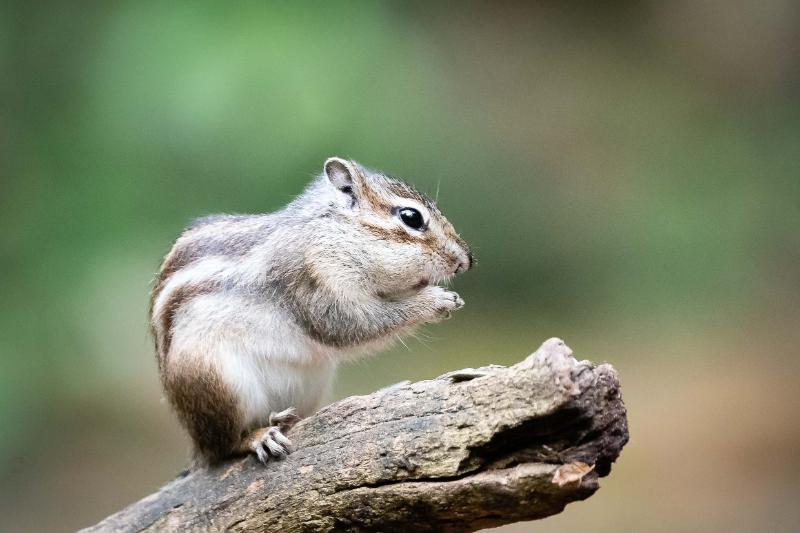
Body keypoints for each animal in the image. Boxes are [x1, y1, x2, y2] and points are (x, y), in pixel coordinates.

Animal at [149, 156, 472, 464]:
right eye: (411, 217)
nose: (467, 261)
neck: (331, 233)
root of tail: (196, 445)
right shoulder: (312, 279)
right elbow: (351, 325)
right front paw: (435, 301)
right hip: (216, 382)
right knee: (223, 447)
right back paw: (257, 436)